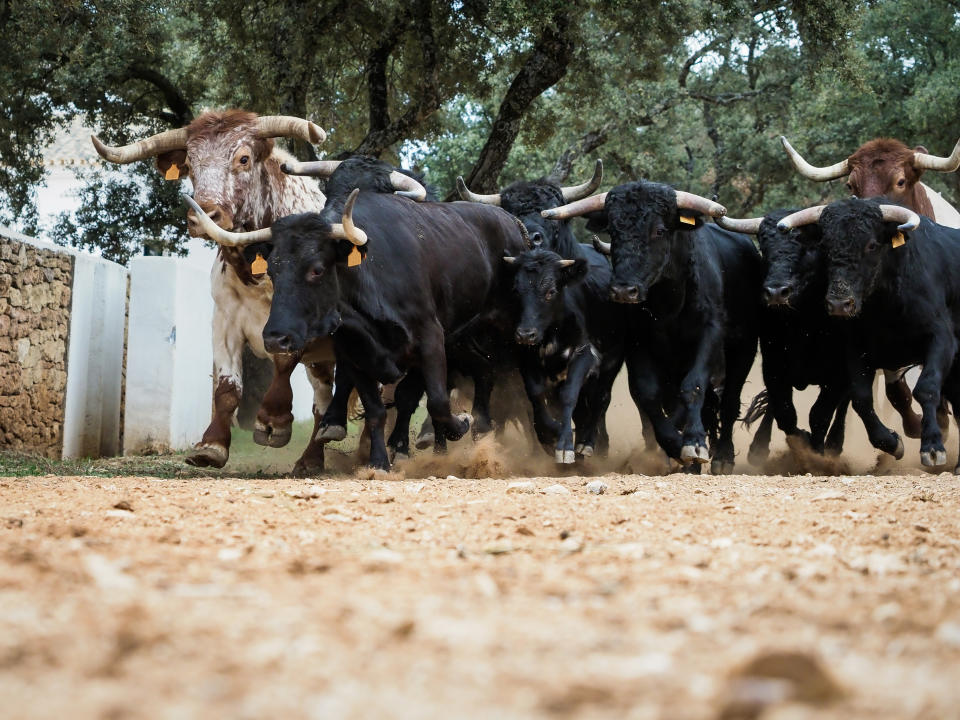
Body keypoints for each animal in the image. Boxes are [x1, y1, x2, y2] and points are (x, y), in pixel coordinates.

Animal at [92, 109, 334, 472]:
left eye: (243, 159)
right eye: (190, 164)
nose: (204, 215)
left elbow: (283, 364)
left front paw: (273, 421)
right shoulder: (225, 322)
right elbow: (227, 387)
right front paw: (212, 445)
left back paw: (315, 458)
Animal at [260, 191, 524, 470]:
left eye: (317, 269)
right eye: (272, 271)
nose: (276, 338)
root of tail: (511, 222)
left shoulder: (430, 339)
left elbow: (436, 401)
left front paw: (459, 424)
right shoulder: (354, 354)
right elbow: (376, 410)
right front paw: (378, 462)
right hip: (462, 340)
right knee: (484, 370)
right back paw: (482, 428)